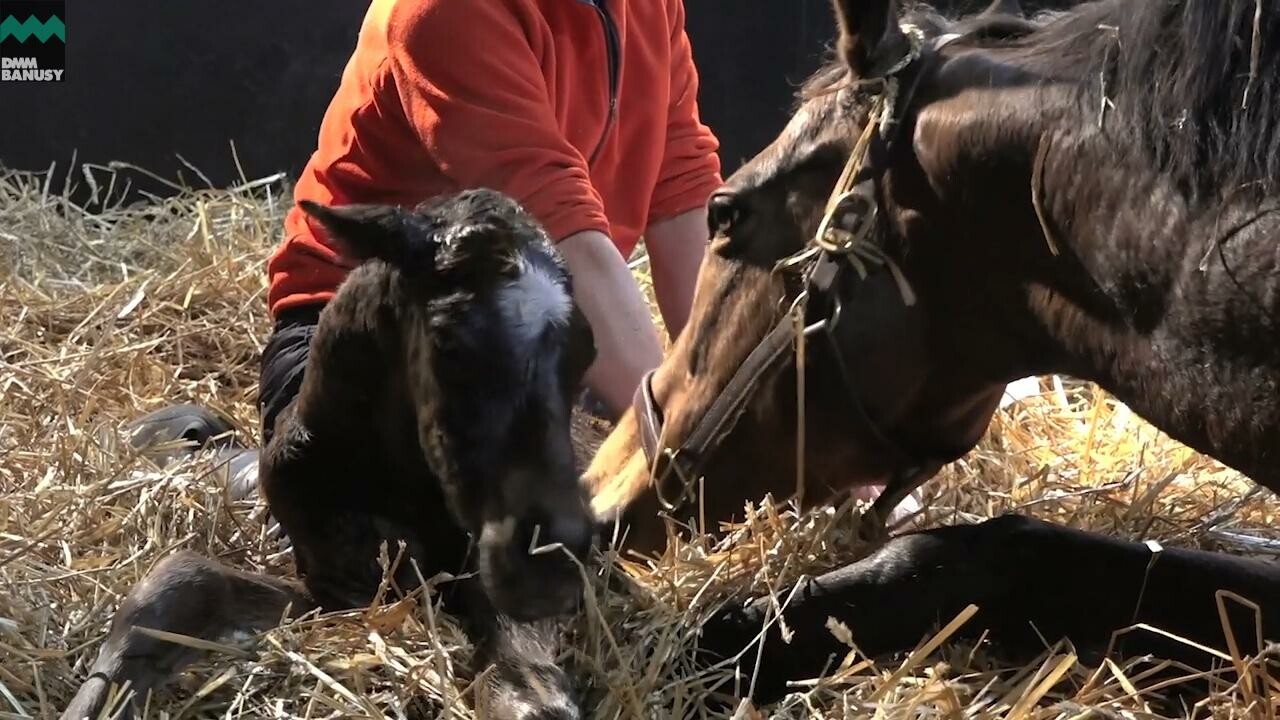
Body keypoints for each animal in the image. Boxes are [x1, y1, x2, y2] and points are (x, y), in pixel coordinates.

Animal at [62, 189, 611, 717]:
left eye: (586, 354)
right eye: (449, 341)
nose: (550, 566)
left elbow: (530, 691)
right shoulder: (344, 592)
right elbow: (182, 583)